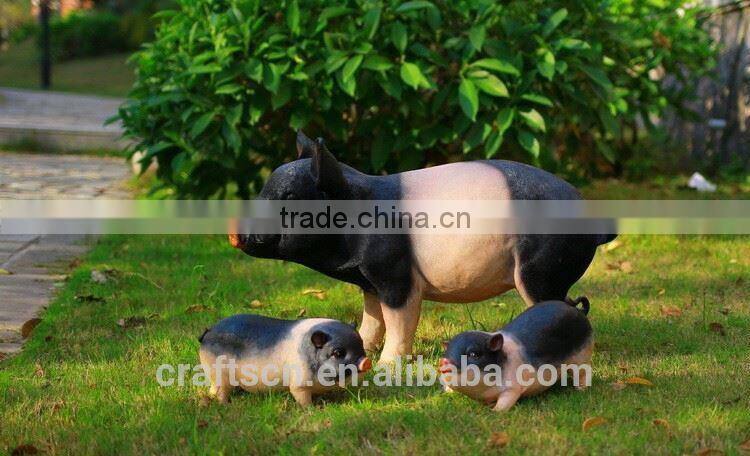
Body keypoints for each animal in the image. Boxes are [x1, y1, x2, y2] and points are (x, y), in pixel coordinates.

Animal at [198, 314, 372, 406]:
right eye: (337, 352)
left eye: (361, 344)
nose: (366, 361)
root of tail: (208, 333)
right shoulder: (298, 384)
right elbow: (301, 397)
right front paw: (312, 409)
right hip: (218, 373)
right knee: (220, 391)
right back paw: (227, 404)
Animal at [229, 131, 616, 364]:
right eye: (263, 190)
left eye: (289, 198)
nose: (234, 231)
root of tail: (593, 224)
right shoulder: (370, 281)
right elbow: (373, 319)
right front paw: (364, 347)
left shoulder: (397, 275)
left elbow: (399, 320)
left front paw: (387, 366)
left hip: (540, 269)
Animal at [439, 298, 593, 412]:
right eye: (447, 353)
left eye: (474, 354)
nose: (444, 362)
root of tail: (579, 311)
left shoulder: (512, 388)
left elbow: (505, 402)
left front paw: (494, 412)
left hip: (583, 357)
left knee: (584, 373)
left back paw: (580, 390)